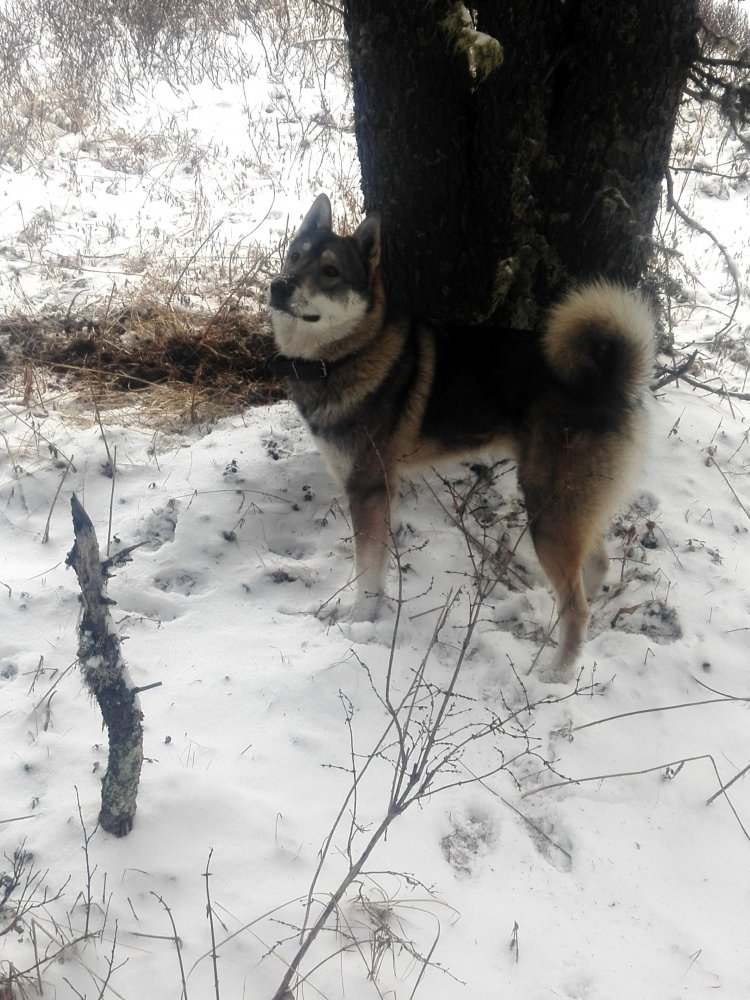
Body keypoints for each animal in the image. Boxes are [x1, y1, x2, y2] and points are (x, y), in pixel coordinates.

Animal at [268, 194, 655, 678]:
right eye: (294, 256)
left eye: (331, 271)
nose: (278, 286)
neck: (347, 354)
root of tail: (608, 381)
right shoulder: (373, 488)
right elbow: (375, 565)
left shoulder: (368, 489)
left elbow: (367, 573)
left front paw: (359, 623)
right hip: (572, 506)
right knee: (597, 568)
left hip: (547, 509)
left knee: (577, 605)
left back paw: (554, 674)